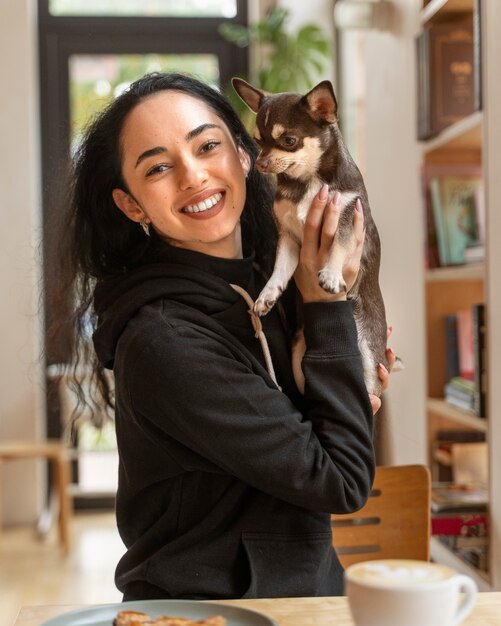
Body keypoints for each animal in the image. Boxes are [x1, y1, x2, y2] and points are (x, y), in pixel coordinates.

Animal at [232, 77, 388, 394]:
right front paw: (267, 294)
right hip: (298, 361)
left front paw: (330, 273)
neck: (309, 182)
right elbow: (280, 269)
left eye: (288, 141)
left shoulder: (346, 217)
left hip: (368, 360)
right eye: (258, 140)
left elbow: (338, 246)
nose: (261, 163)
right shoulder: (290, 238)